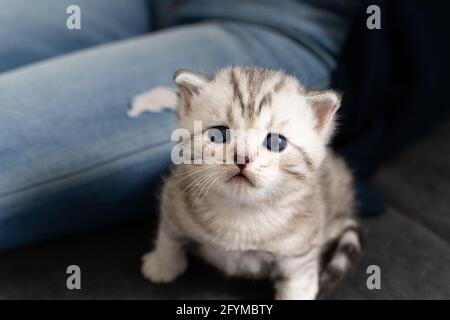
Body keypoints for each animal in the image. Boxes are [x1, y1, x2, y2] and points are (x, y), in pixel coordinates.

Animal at [142, 66, 360, 298]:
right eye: (218, 134)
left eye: (276, 142)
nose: (242, 158)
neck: (241, 213)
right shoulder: (173, 197)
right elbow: (168, 237)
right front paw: (162, 266)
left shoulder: (301, 249)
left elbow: (297, 284)